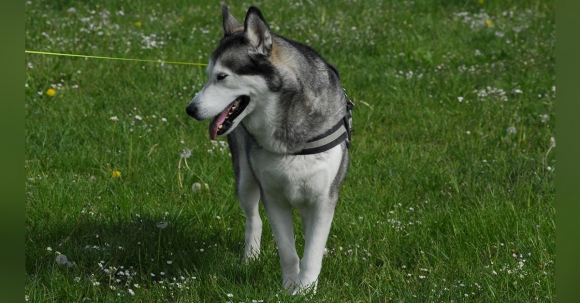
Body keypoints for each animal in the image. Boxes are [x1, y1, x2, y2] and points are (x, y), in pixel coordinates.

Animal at [186, 4, 354, 294]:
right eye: (208, 76)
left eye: (222, 76)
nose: (191, 109)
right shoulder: (272, 197)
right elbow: (288, 251)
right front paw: (289, 288)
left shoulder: (323, 198)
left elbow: (311, 252)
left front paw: (305, 290)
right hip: (245, 177)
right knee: (254, 218)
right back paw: (250, 257)